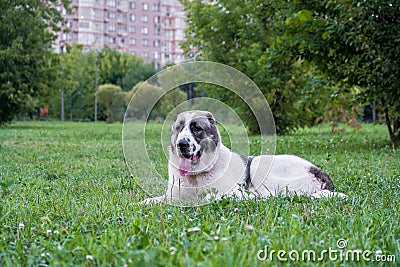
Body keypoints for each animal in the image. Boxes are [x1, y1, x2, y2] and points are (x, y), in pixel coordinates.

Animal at [141, 110, 346, 206]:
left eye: (196, 128)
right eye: (179, 128)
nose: (181, 144)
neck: (196, 177)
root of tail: (321, 173)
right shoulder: (172, 197)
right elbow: (152, 201)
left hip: (258, 165)